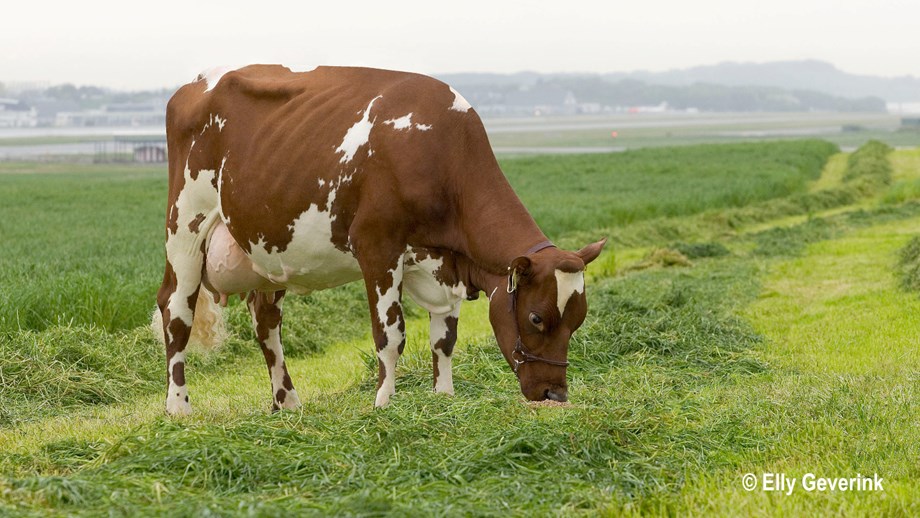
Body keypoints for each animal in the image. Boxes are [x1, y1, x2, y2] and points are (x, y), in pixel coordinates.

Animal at [155, 65, 608, 416]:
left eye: (578, 319)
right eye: (536, 317)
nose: (554, 394)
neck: (441, 153)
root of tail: (194, 83)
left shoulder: (445, 263)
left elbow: (444, 340)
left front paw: (443, 399)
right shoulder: (377, 248)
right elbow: (391, 336)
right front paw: (384, 404)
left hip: (266, 248)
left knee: (265, 320)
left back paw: (288, 403)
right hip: (186, 225)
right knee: (176, 310)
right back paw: (178, 408)